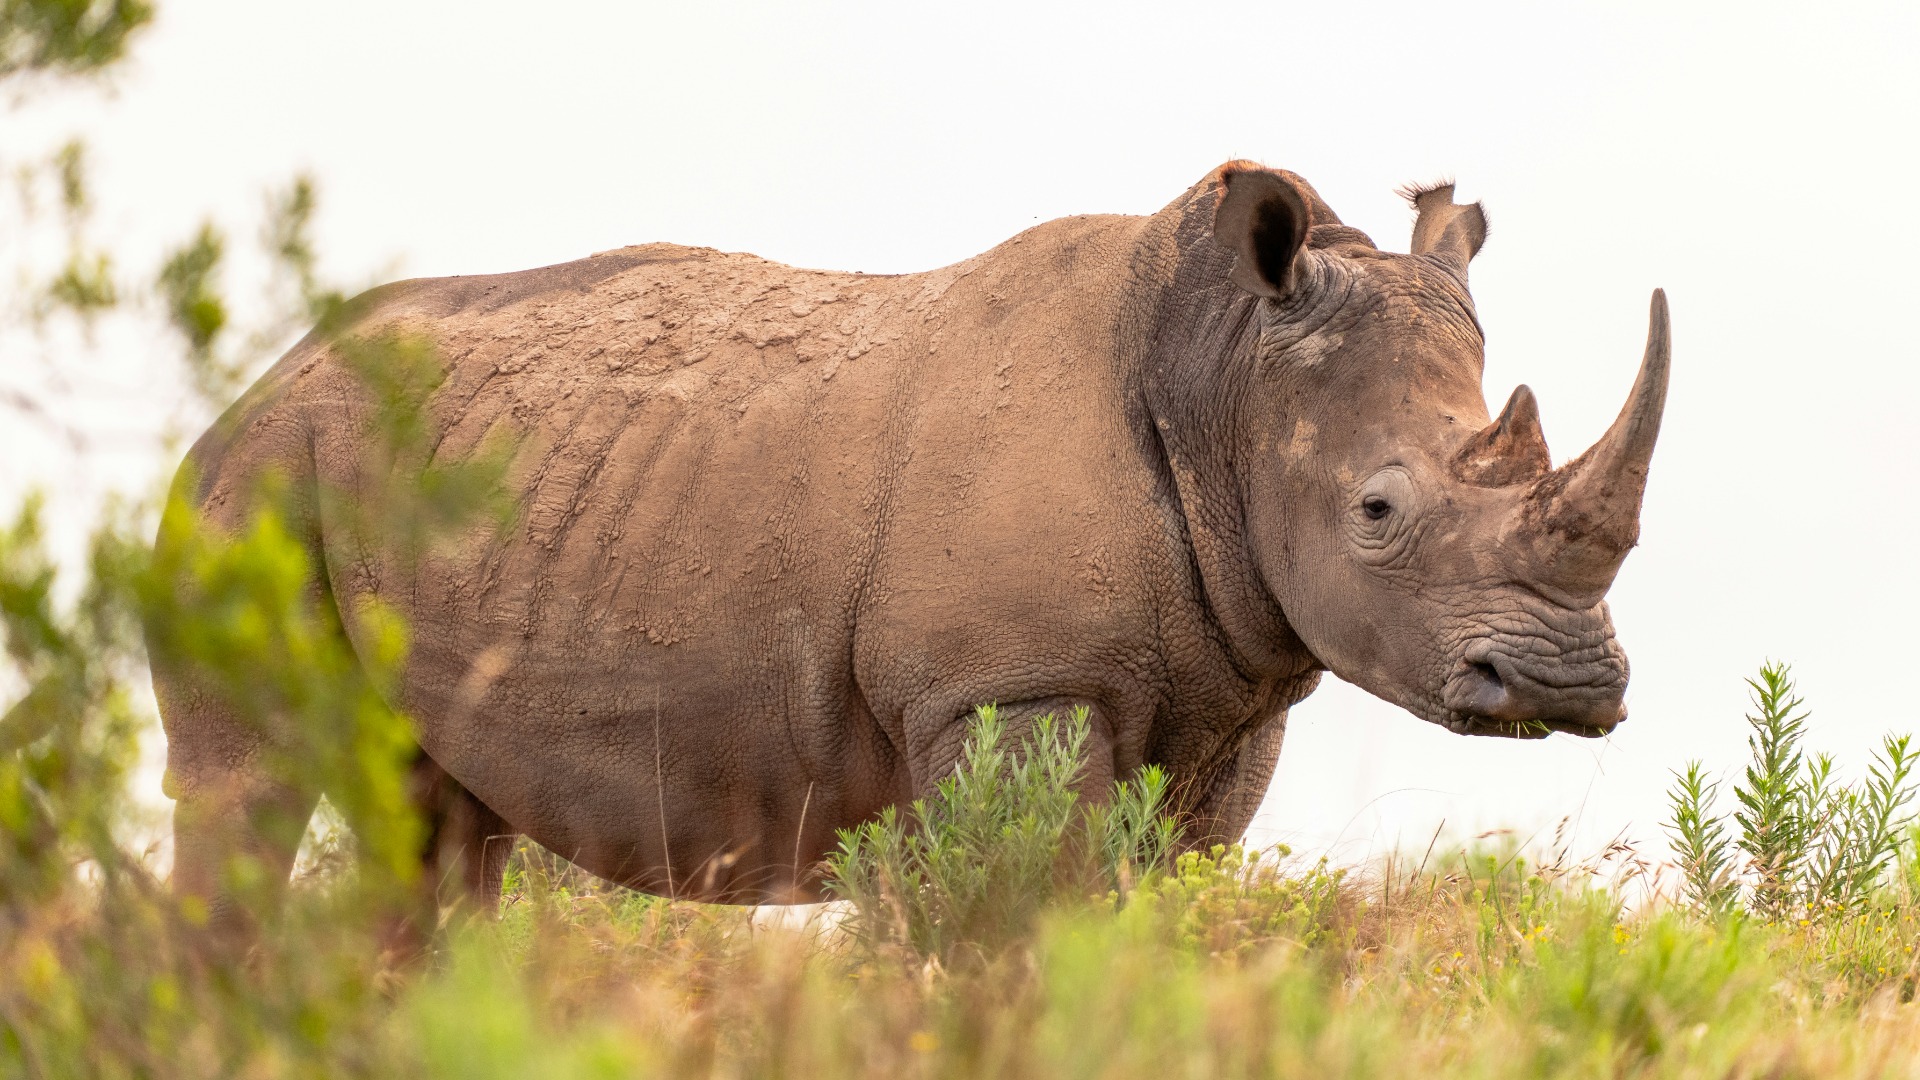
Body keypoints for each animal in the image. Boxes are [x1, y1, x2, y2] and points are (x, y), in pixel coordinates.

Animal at [153, 161, 1669, 929]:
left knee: (431, 826)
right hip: (248, 495)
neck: (1223, 378)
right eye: (1378, 512)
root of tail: (257, 388)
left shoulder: (1229, 693)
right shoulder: (1009, 684)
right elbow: (1011, 915)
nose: (1567, 686)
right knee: (250, 787)